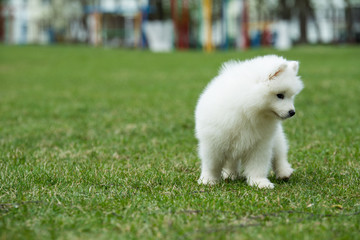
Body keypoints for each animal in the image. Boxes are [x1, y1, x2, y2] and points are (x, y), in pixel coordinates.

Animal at [195, 55, 302, 188]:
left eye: (291, 96)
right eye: (280, 95)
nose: (292, 112)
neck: (247, 111)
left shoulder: (260, 144)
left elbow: (258, 165)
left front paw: (259, 182)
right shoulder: (213, 142)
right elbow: (212, 165)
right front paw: (208, 180)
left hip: (277, 138)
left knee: (279, 155)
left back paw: (284, 173)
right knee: (231, 161)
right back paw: (230, 175)